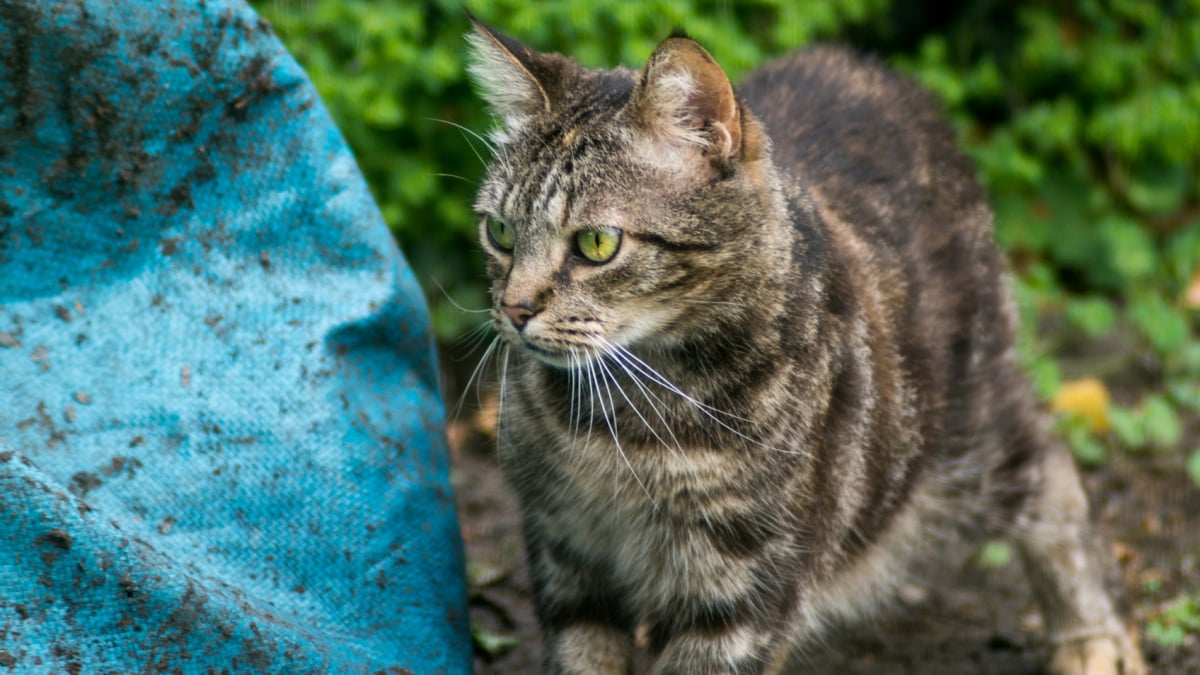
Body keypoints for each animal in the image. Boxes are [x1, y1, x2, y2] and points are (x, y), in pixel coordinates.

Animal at [463, 14, 1147, 672]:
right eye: (500, 232)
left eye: (597, 243)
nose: (514, 309)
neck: (622, 423)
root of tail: (871, 71)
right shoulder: (565, 551)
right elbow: (583, 656)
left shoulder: (743, 590)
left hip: (960, 435)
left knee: (1047, 460)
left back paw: (1088, 636)